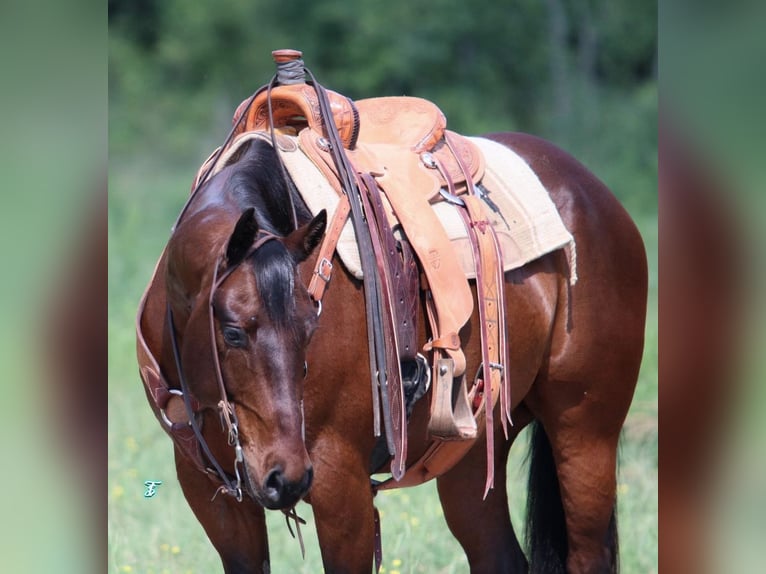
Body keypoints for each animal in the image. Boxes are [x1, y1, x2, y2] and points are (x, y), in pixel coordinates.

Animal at [140, 132, 648, 574]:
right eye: (232, 333)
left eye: (310, 327)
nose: (287, 478)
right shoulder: (213, 494)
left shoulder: (340, 485)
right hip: (473, 452)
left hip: (584, 432)